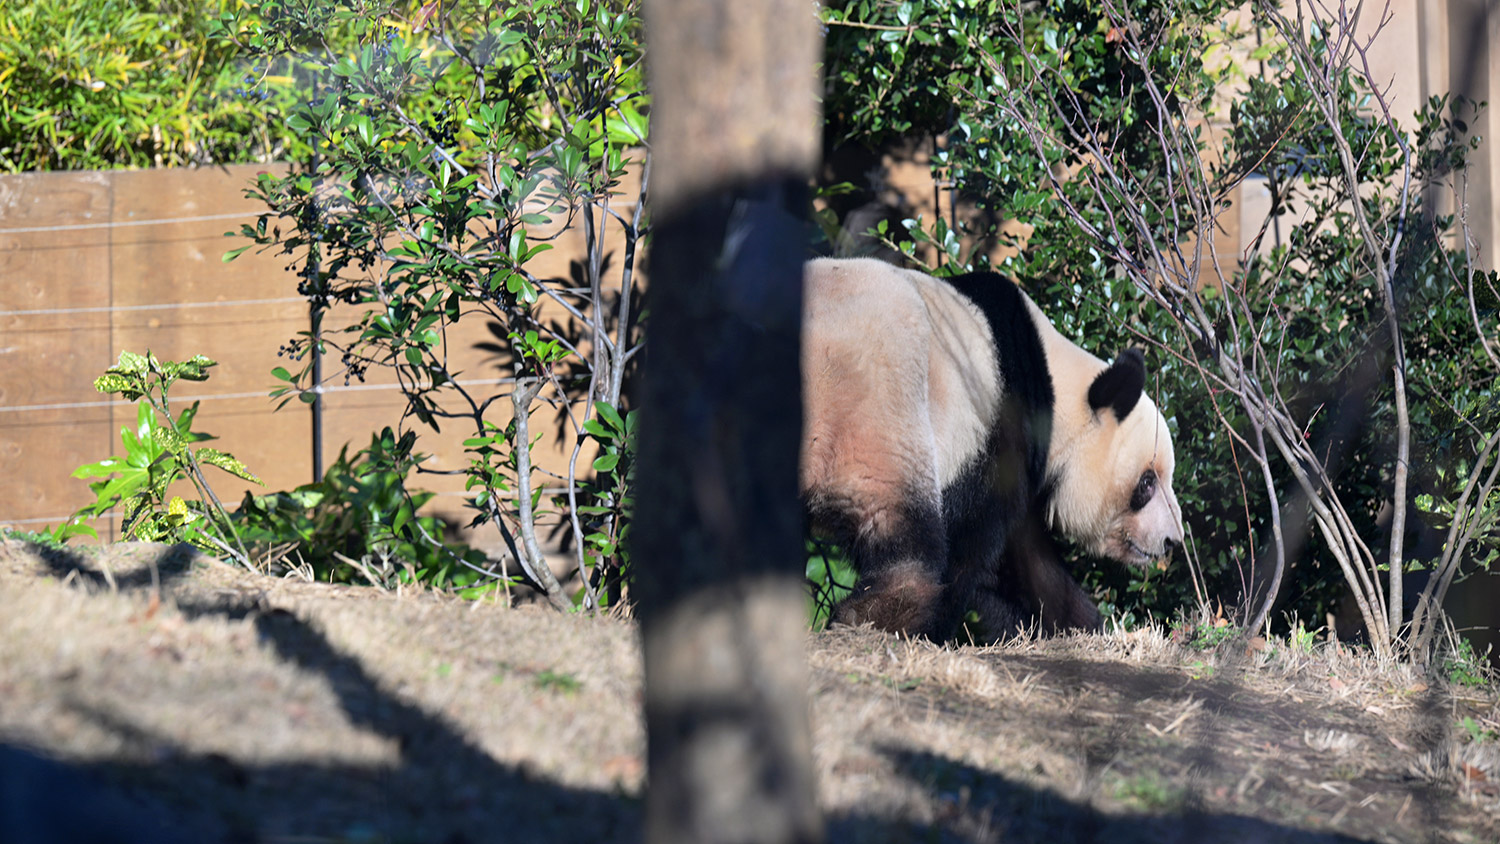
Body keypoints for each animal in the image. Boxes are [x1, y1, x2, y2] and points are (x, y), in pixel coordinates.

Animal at [800, 257, 1184, 642]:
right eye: (1147, 483)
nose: (1172, 541)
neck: (1055, 385)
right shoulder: (995, 430)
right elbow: (972, 544)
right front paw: (935, 631)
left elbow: (1029, 567)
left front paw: (1084, 627)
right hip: (875, 402)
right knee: (898, 525)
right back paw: (881, 615)